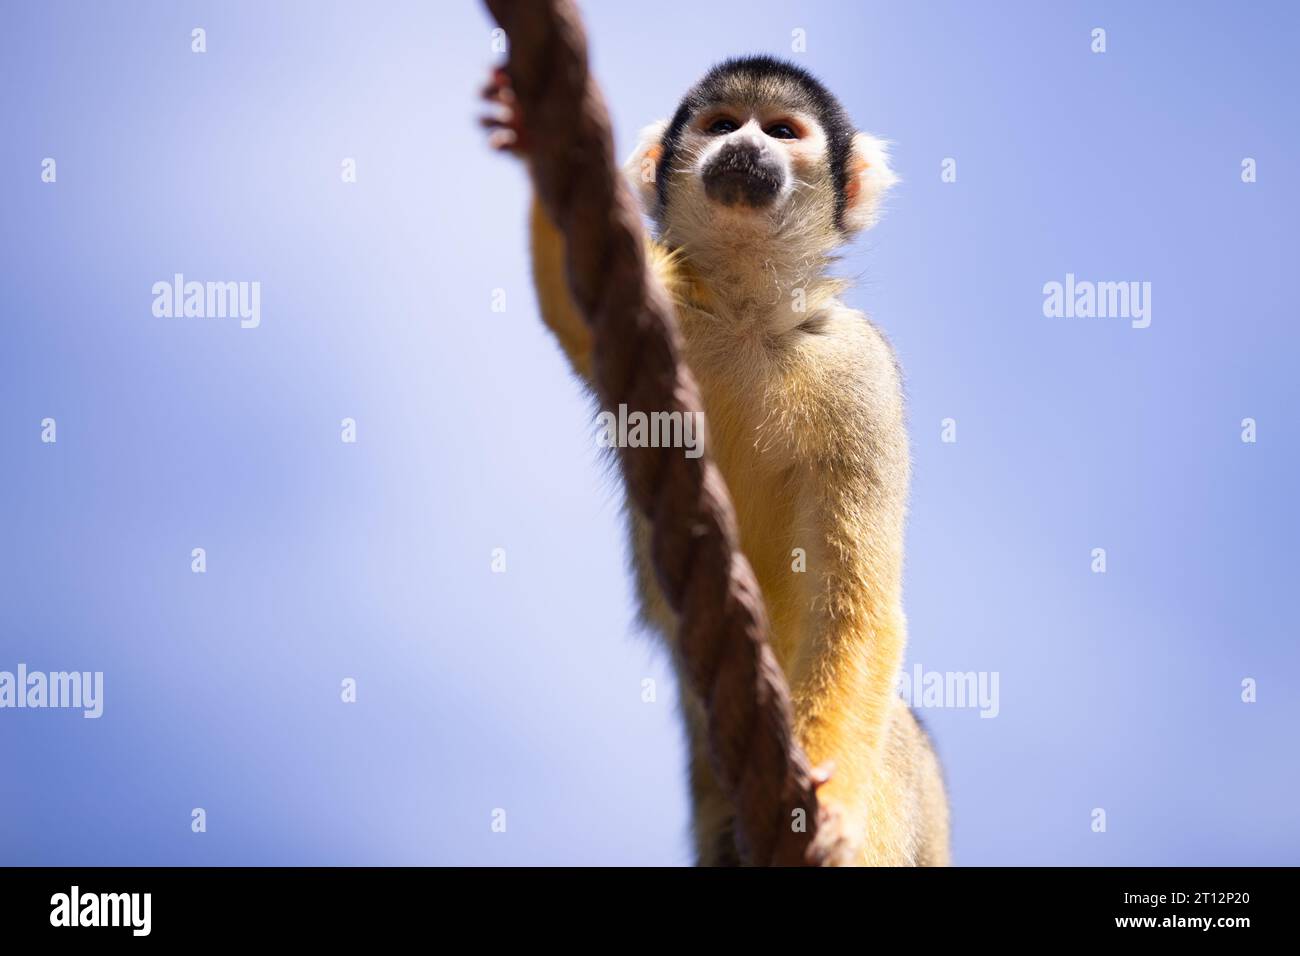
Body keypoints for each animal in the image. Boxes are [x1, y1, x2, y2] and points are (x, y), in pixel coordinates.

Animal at [484, 55, 950, 866]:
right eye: (723, 123)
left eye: (784, 131)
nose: (746, 146)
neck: (745, 312)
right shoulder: (665, 304)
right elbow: (569, 302)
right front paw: (536, 128)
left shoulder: (861, 372)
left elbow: (855, 603)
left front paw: (830, 810)